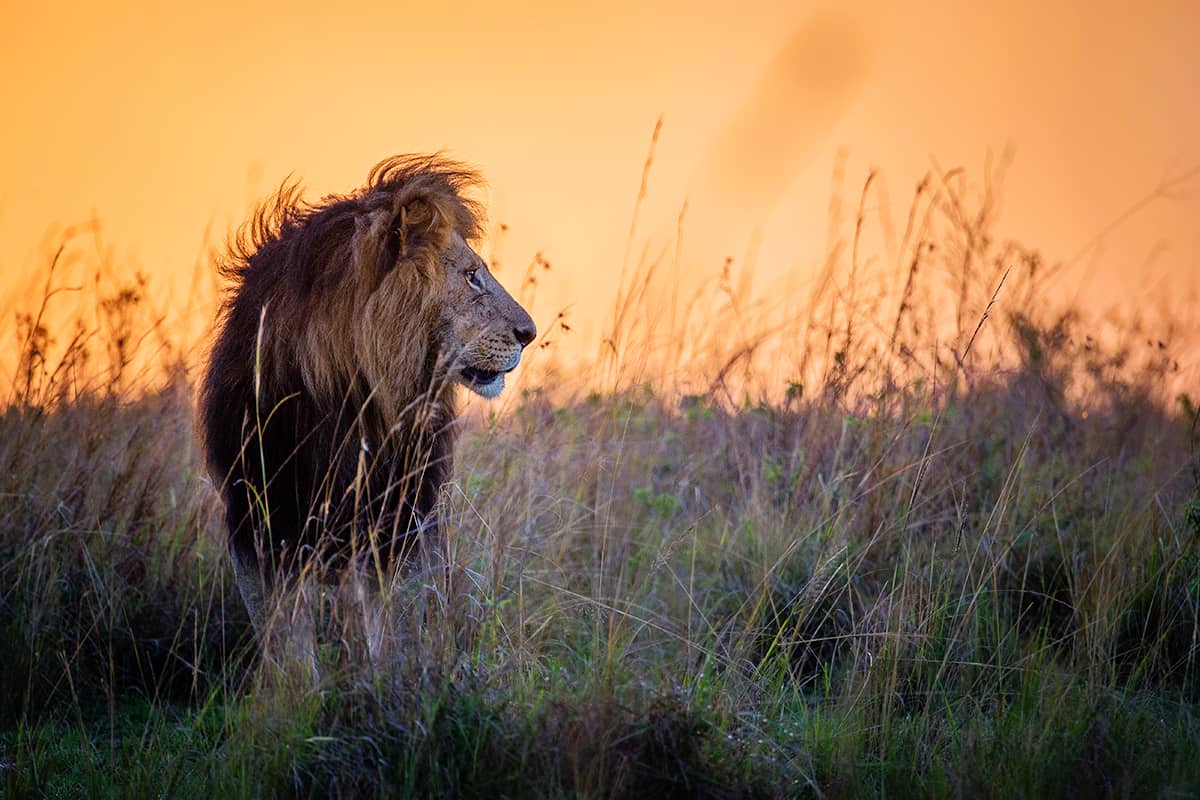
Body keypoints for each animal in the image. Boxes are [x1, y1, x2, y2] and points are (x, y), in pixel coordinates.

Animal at [200, 153, 535, 647]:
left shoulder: (399, 529)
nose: (530, 333)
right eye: (471, 276)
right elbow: (288, 648)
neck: (349, 396)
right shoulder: (258, 531)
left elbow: (395, 638)